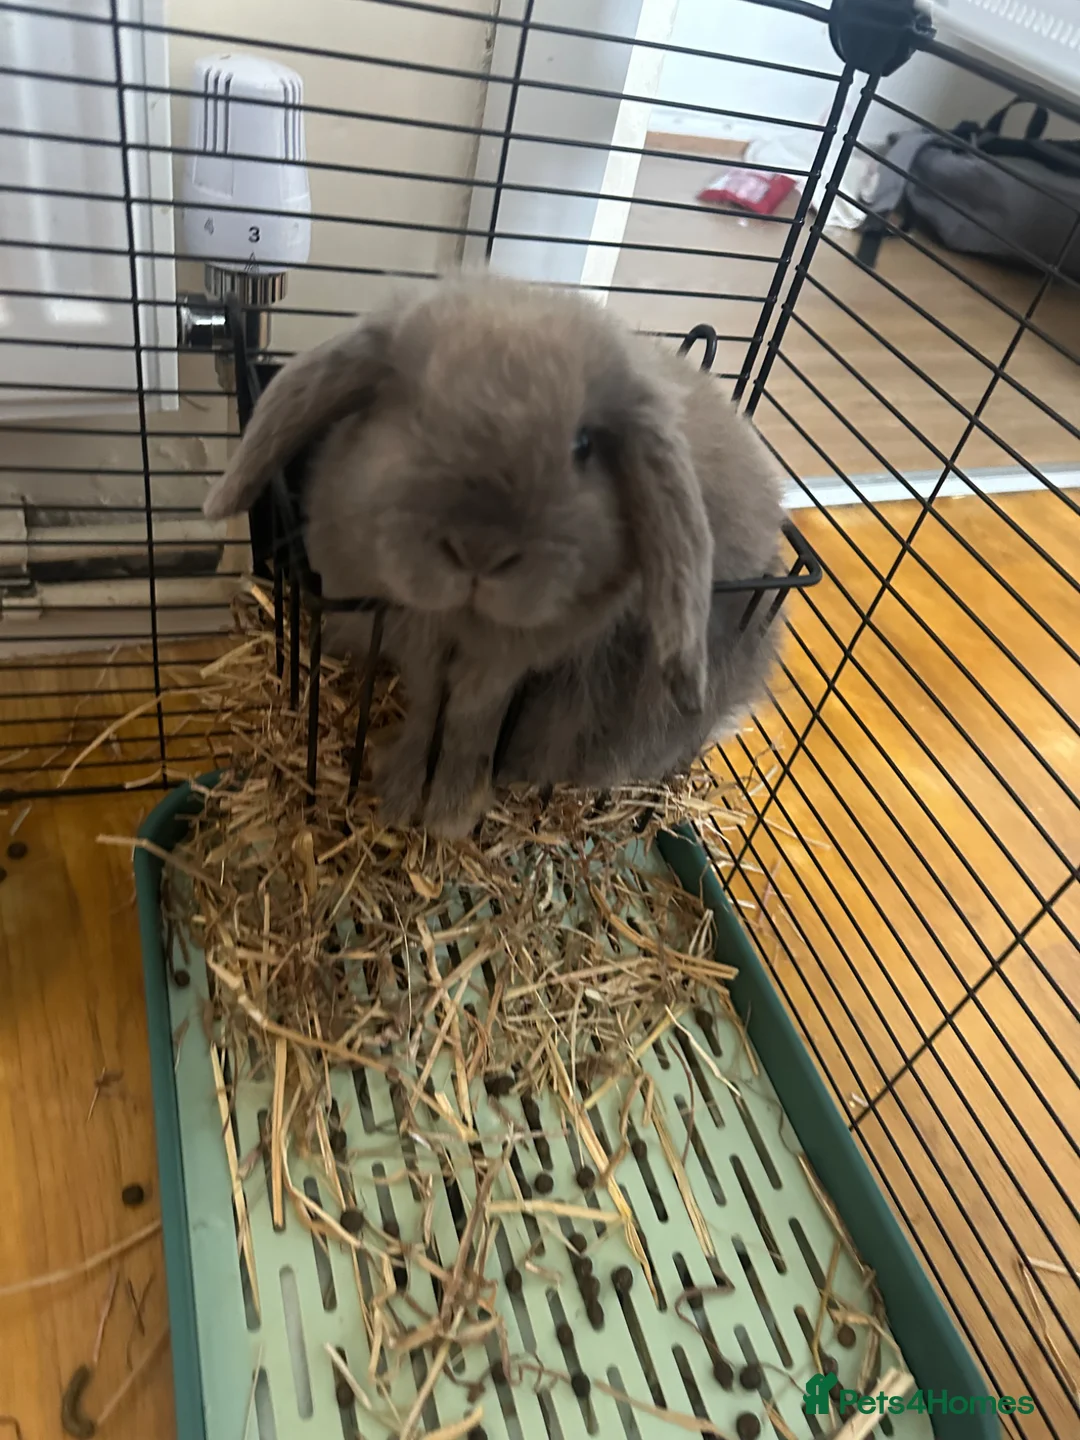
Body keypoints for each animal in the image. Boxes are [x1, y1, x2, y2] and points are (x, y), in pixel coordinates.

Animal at [203, 271, 786, 837]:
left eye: (583, 445)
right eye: (415, 415)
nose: (479, 550)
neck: (465, 624)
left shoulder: (510, 659)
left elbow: (471, 718)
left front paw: (449, 812)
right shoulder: (416, 636)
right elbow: (429, 705)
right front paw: (400, 796)